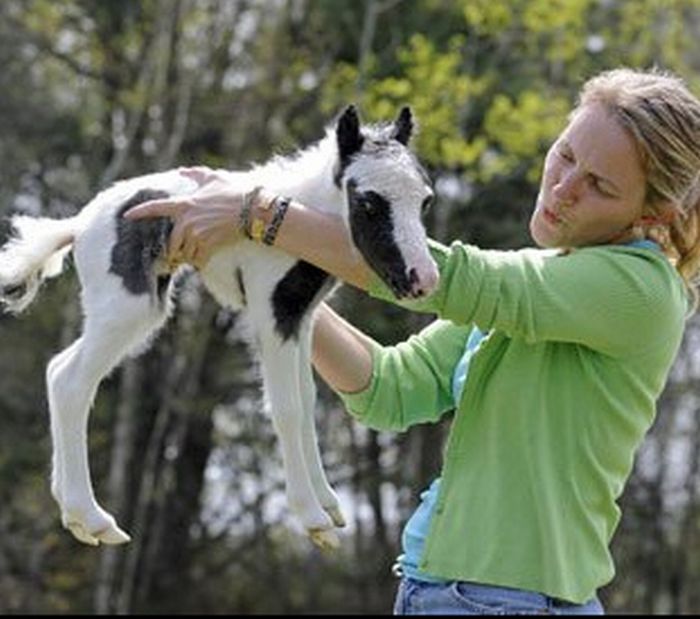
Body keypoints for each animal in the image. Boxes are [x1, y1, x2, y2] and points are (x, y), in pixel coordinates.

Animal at [0, 104, 438, 548]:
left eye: (424, 201)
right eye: (367, 203)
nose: (423, 278)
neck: (301, 215)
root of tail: (79, 223)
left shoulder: (302, 315)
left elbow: (307, 399)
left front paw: (328, 504)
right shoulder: (270, 309)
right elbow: (287, 407)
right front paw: (312, 516)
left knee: (57, 368)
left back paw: (73, 514)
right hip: (129, 305)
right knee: (70, 382)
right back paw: (91, 517)